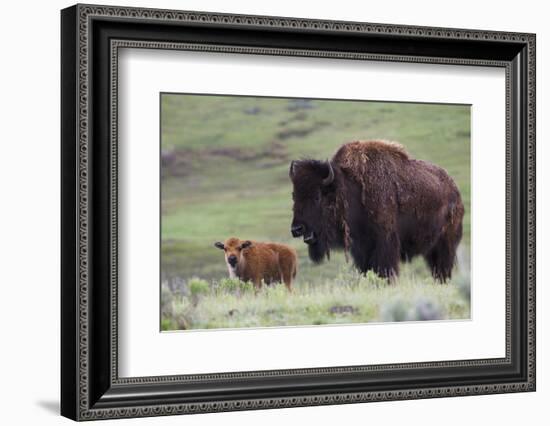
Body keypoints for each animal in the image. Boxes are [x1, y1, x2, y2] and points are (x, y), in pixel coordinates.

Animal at [288, 140, 466, 282]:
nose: (297, 229)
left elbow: (384, 269)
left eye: (317, 197)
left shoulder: (385, 242)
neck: (348, 190)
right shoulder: (361, 248)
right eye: (294, 196)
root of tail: (455, 191)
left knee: (443, 268)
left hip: (445, 244)